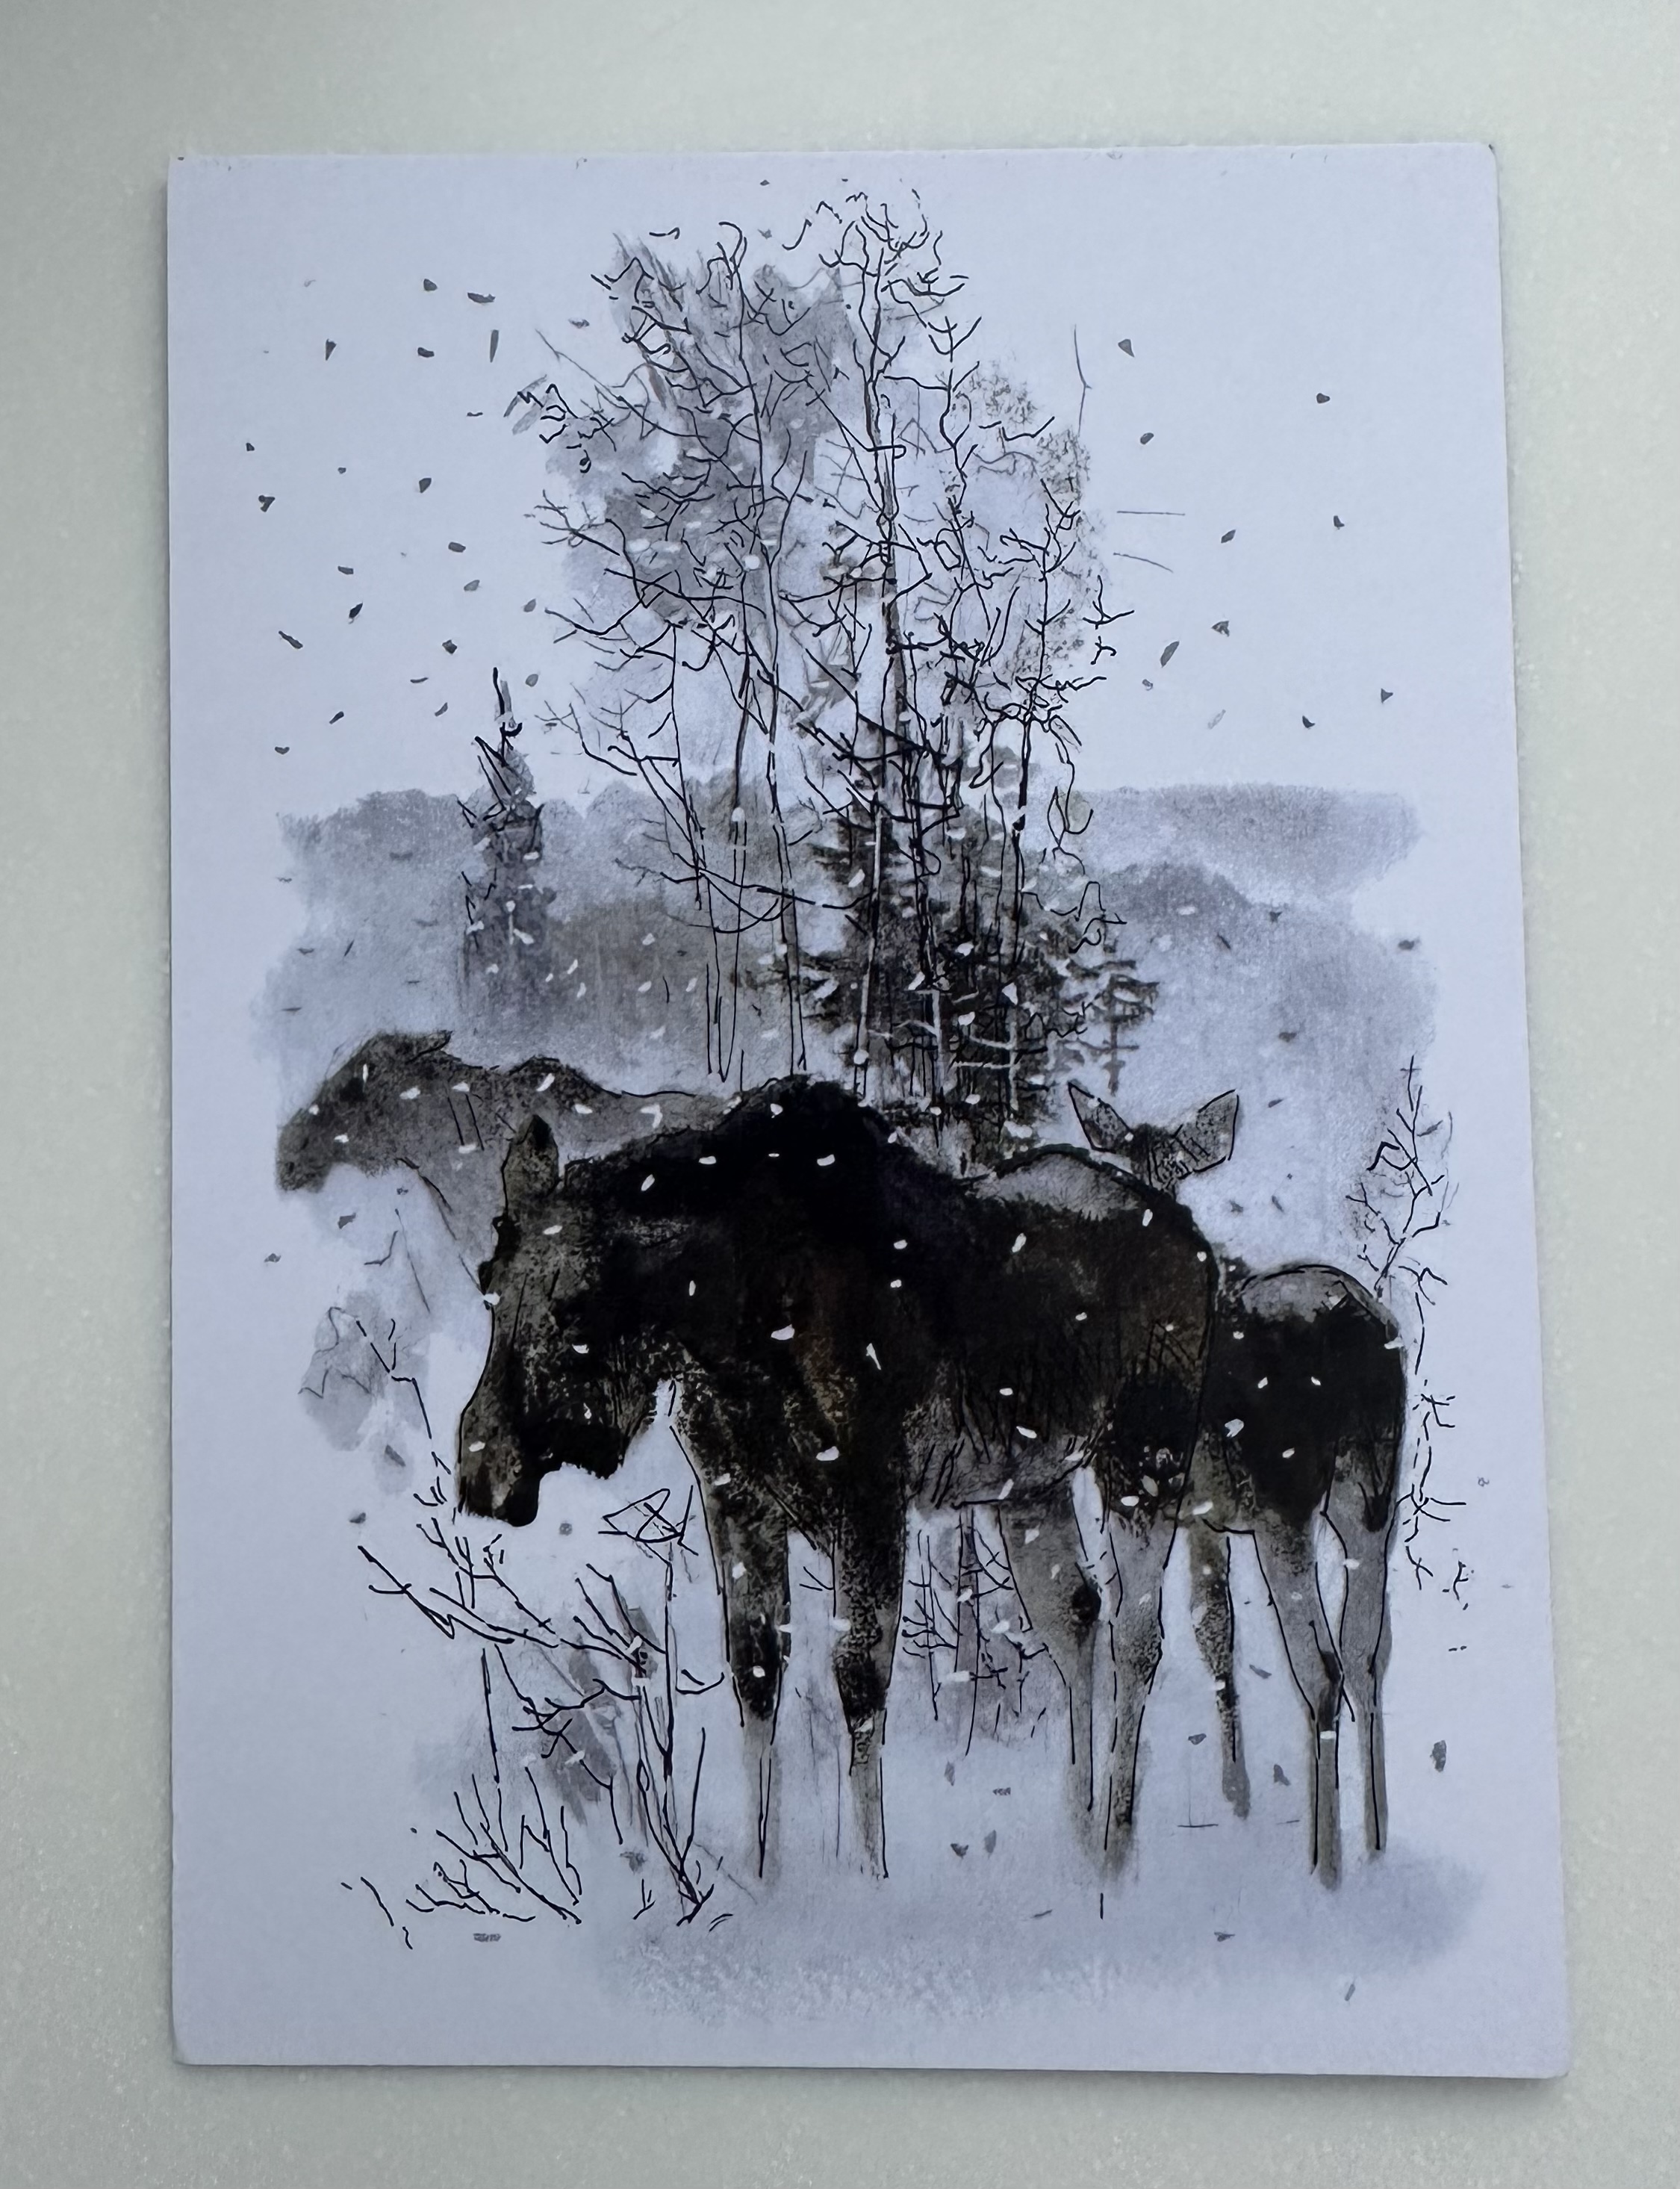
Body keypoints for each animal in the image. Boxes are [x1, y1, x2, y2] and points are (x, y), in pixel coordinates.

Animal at [457, 1077, 1218, 1879]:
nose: (484, 1469)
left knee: (1138, 1635)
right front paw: (765, 1877)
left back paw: (1117, 1845)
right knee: (1074, 1613)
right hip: (1031, 1486)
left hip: (1144, 1458)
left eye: (572, 1303)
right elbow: (757, 1673)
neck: (722, 1321)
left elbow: (858, 1679)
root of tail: (1200, 1248)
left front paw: (868, 1874)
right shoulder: (736, 1495)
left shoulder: (869, 1492)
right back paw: (1079, 1837)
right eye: (487, 1282)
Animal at [1069, 1080, 1405, 1881]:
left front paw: (1116, 1843)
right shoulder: (1205, 1515)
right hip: (1371, 1495)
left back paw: (1326, 1866)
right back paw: (1376, 1841)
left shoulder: (1141, 1488)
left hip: (1290, 1505)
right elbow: (1214, 1630)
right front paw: (1237, 1794)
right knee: (1369, 1652)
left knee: (1321, 1666)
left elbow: (1137, 1641)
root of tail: (1358, 1329)